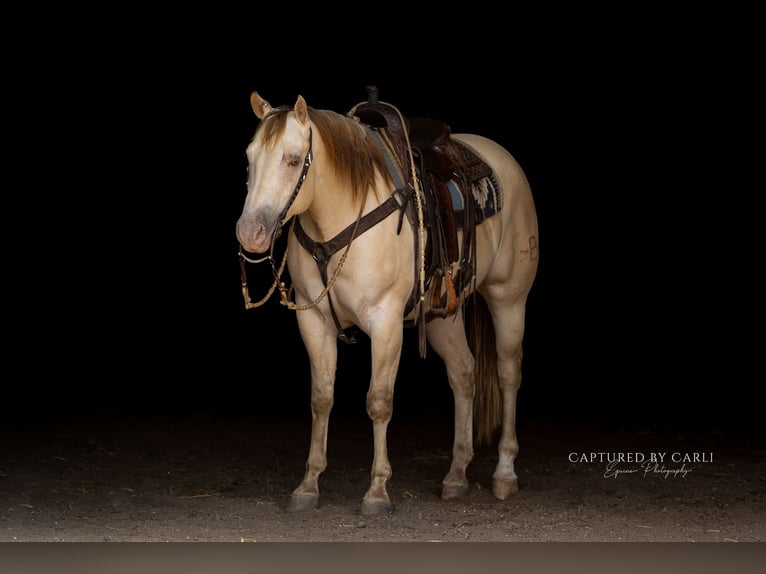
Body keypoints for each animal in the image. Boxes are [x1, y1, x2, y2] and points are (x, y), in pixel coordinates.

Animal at [236, 89, 539, 515]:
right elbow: (321, 399)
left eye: (293, 159)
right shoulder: (313, 322)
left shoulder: (386, 321)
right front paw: (308, 485)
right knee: (464, 374)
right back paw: (455, 475)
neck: (339, 218)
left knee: (508, 372)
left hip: (508, 298)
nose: (251, 233)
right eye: (250, 157)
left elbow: (378, 401)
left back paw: (505, 473)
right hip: (442, 316)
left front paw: (378, 490)